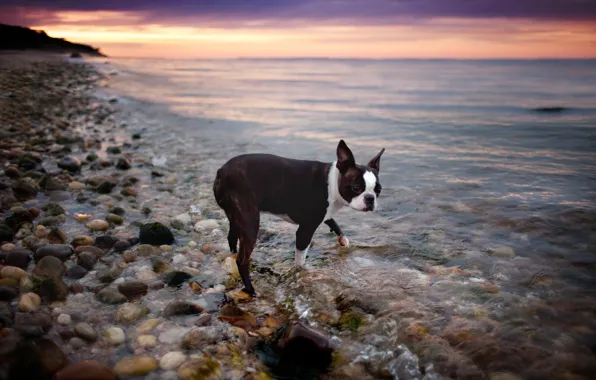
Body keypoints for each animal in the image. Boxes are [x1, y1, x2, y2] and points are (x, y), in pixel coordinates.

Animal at [212, 140, 384, 296]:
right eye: (356, 187)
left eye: (378, 190)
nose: (370, 198)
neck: (332, 183)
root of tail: (221, 171)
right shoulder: (306, 229)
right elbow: (300, 259)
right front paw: (302, 272)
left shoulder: (323, 214)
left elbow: (333, 222)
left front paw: (343, 240)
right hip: (250, 222)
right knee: (242, 259)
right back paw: (250, 289)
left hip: (236, 217)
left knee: (232, 238)